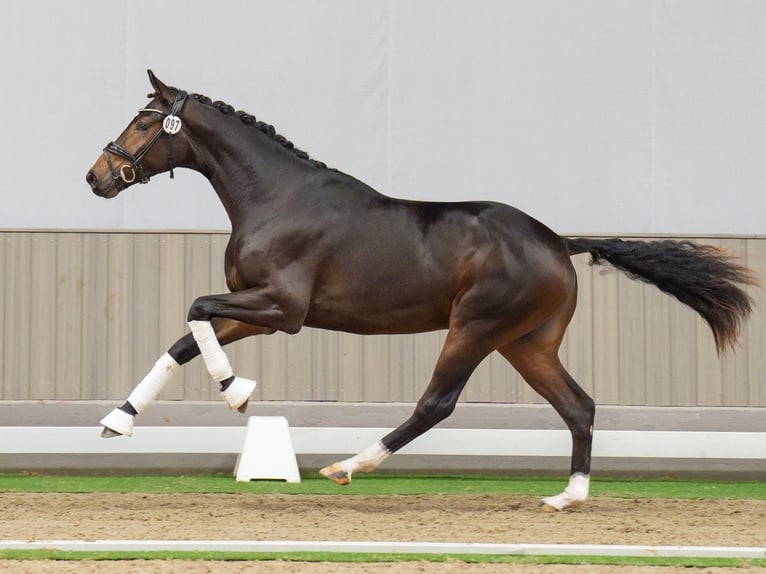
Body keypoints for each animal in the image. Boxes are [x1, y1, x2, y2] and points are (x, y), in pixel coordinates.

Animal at [84, 72, 756, 512]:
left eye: (143, 121)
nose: (97, 177)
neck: (276, 197)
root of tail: (559, 242)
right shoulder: (258, 310)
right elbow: (184, 338)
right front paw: (118, 422)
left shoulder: (284, 308)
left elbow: (194, 310)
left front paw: (237, 392)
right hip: (526, 344)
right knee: (579, 407)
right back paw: (567, 497)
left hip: (476, 329)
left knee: (437, 403)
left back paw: (346, 467)